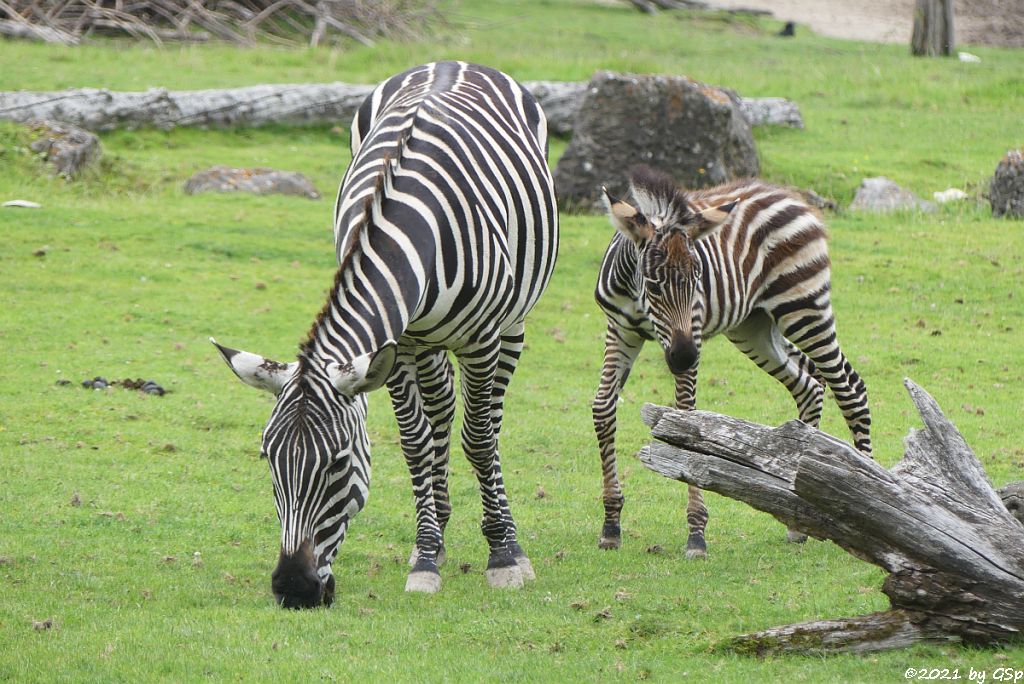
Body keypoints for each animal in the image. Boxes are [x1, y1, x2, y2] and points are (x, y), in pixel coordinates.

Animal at [210, 62, 557, 610]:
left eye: (338, 464)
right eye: (268, 461)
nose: (294, 591)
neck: (410, 233)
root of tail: (452, 62)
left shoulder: (480, 337)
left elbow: (479, 438)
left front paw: (504, 557)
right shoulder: (395, 346)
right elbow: (416, 443)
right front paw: (426, 556)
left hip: (512, 322)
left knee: (489, 421)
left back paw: (502, 533)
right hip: (425, 343)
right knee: (440, 413)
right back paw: (437, 524)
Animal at [593, 163, 872, 557]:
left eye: (697, 280)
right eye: (654, 285)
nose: (682, 358)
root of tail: (788, 193)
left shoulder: (692, 330)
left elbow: (686, 419)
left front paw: (696, 534)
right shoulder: (619, 330)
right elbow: (603, 408)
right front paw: (611, 524)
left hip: (803, 307)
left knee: (850, 388)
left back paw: (873, 497)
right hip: (752, 326)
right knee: (811, 385)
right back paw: (797, 519)